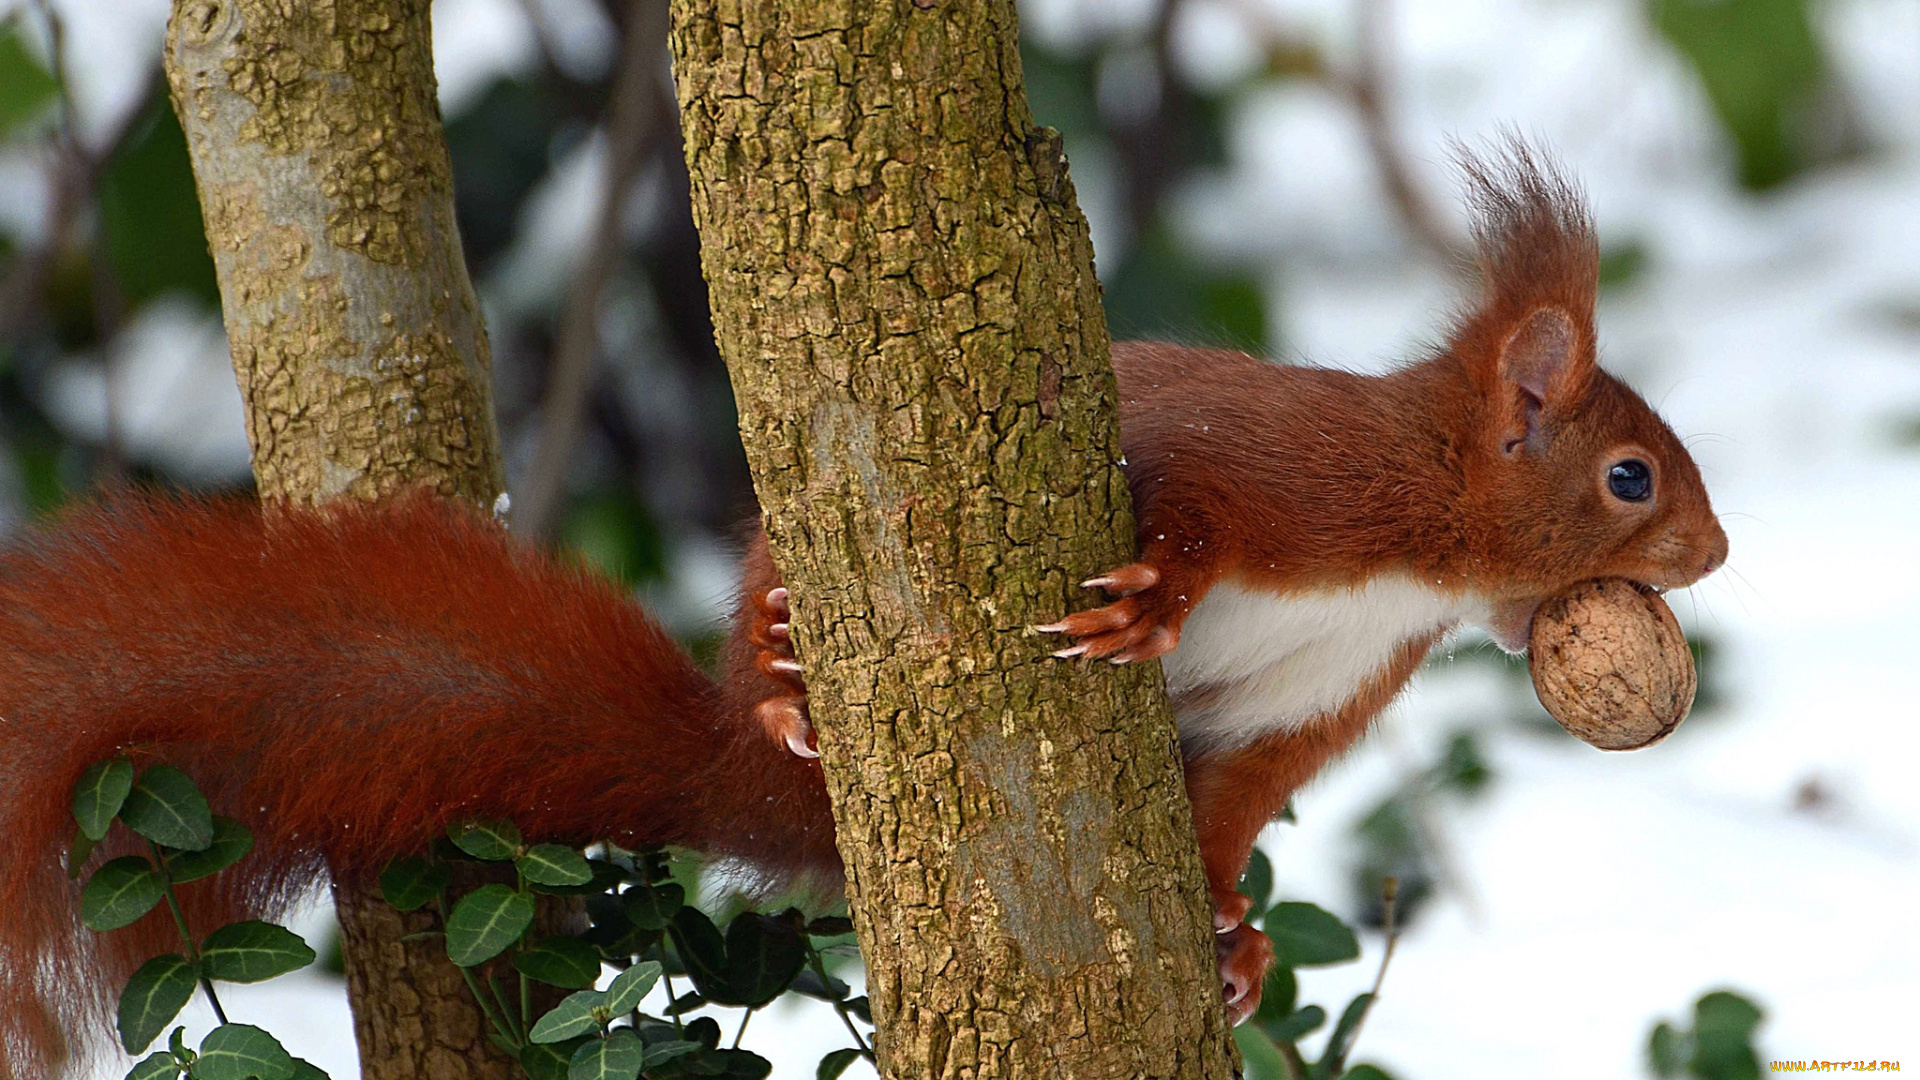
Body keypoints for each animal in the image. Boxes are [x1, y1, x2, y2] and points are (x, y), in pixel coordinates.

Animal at [0, 145, 1728, 1068]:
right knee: (774, 619)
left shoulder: (1321, 697)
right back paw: (777, 678)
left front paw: (1234, 940)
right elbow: (1181, 494)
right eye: (1632, 476)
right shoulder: (1295, 477)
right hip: (788, 576)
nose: (1714, 556)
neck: (1420, 558)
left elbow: (1232, 807)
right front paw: (1149, 602)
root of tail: (748, 780)